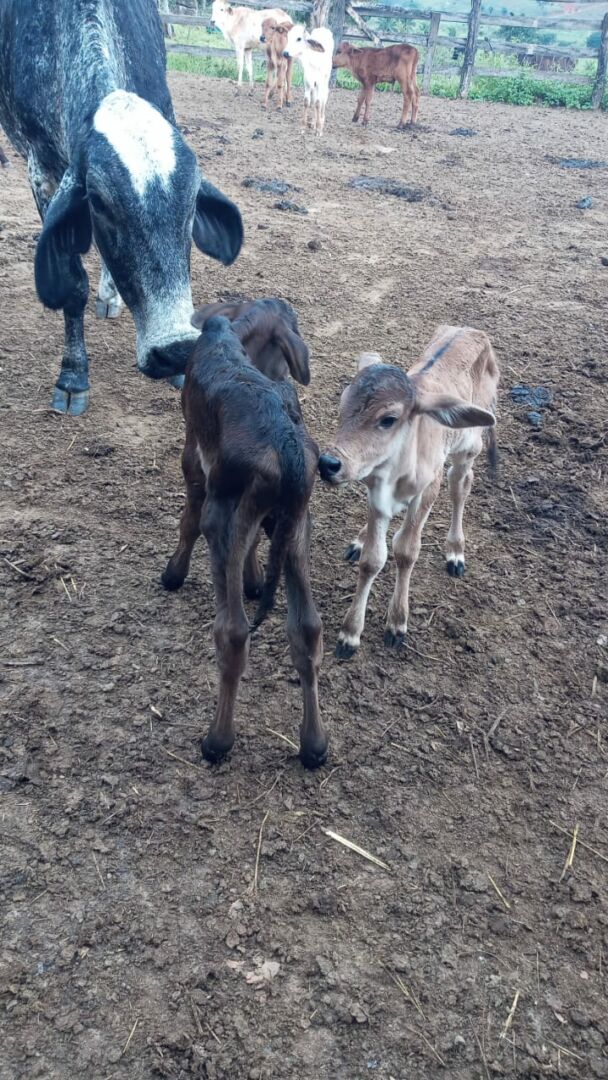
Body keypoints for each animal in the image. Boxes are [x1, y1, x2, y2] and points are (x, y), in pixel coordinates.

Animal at [0, 0, 242, 412]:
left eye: (193, 200)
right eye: (98, 202)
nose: (175, 350)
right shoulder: (41, 171)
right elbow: (73, 285)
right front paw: (73, 376)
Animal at [161, 304, 328, 768]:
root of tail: (287, 449)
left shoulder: (194, 456)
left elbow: (187, 517)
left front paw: (173, 573)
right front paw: (254, 581)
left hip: (223, 519)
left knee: (233, 632)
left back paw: (217, 740)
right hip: (298, 528)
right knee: (307, 628)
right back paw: (314, 745)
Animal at [319, 324, 498, 656]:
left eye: (388, 419)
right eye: (342, 404)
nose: (328, 463)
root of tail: (470, 330)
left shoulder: (427, 489)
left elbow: (406, 550)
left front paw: (397, 622)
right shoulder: (376, 494)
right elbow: (373, 559)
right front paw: (350, 633)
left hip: (469, 446)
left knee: (460, 485)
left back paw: (455, 551)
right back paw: (359, 538)